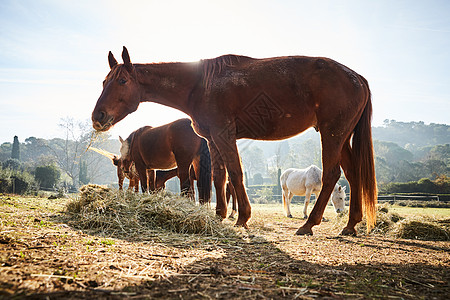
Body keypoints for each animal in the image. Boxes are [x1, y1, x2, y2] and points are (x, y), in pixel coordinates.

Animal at [93, 46, 378, 234]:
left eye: (122, 80)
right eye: (104, 81)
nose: (98, 116)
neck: (200, 84)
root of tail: (358, 78)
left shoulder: (224, 135)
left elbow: (235, 173)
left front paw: (243, 217)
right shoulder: (213, 139)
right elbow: (220, 176)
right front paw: (220, 215)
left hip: (333, 134)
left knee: (331, 174)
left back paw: (309, 223)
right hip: (342, 138)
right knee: (352, 175)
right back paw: (350, 224)